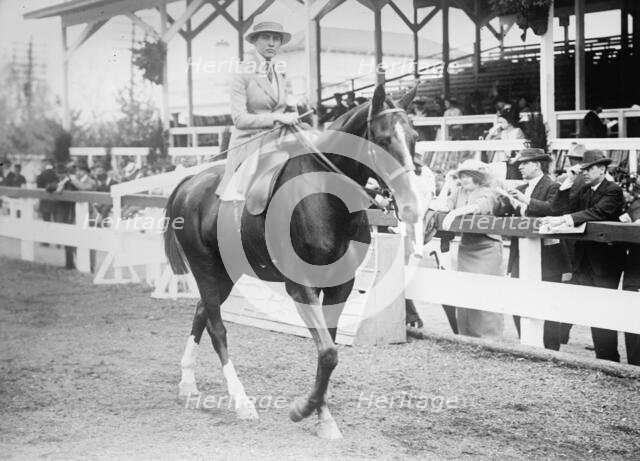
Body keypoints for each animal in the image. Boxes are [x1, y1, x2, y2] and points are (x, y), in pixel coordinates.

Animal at [163, 83, 420, 439]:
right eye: (382, 140)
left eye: (414, 137)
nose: (411, 207)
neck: (326, 195)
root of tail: (190, 183)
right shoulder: (301, 286)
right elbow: (328, 352)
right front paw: (304, 410)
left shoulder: (341, 285)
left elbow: (329, 348)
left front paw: (323, 417)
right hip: (205, 268)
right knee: (217, 329)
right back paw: (241, 402)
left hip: (226, 273)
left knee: (202, 312)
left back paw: (187, 383)